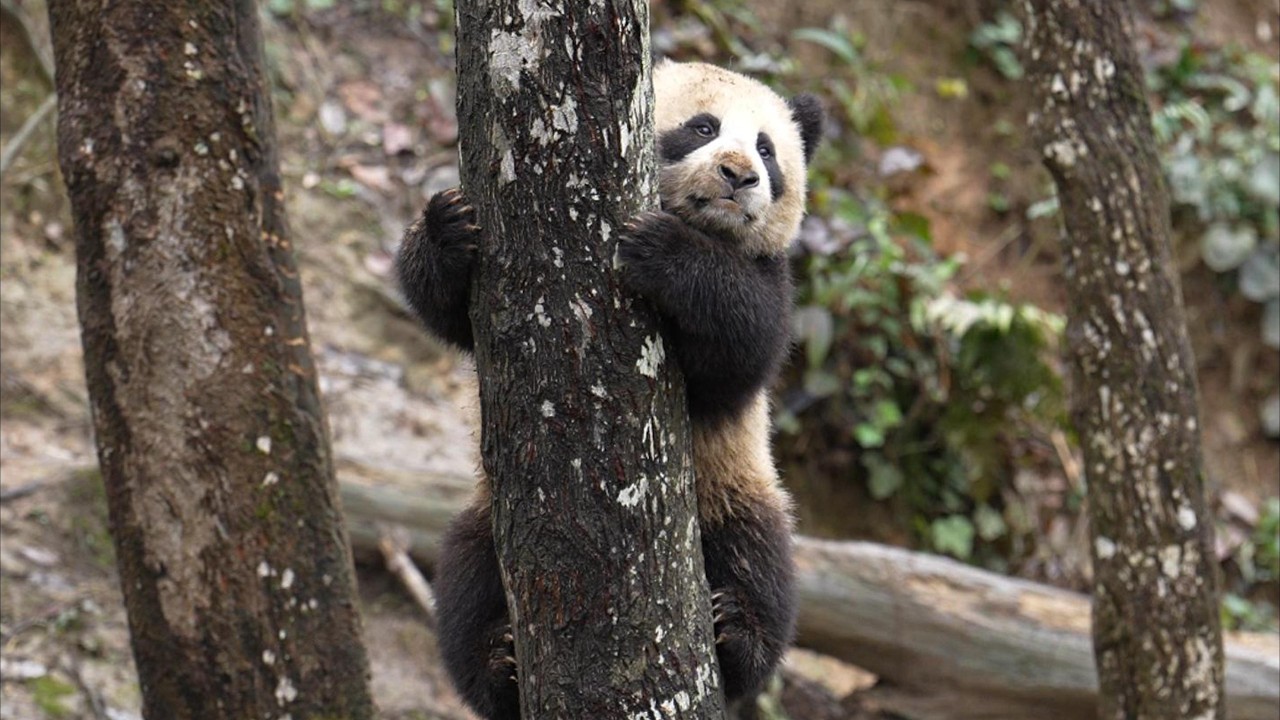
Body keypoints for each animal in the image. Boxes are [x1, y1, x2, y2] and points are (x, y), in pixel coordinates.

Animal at [395, 60, 823, 718]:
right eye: (703, 127)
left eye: (767, 150)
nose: (739, 175)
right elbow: (443, 310)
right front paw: (447, 226)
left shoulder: (769, 281)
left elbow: (745, 343)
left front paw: (665, 251)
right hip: (487, 513)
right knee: (464, 583)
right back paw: (498, 665)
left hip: (734, 487)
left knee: (762, 564)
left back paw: (735, 634)